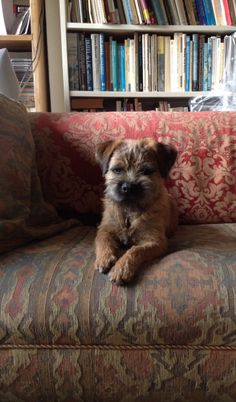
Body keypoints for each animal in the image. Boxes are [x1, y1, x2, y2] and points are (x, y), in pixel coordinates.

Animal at [94, 138, 177, 286]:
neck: (129, 211)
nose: (128, 187)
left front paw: (121, 268)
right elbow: (103, 240)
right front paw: (104, 257)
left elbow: (136, 250)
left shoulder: (155, 241)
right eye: (117, 170)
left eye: (146, 171)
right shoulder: (105, 228)